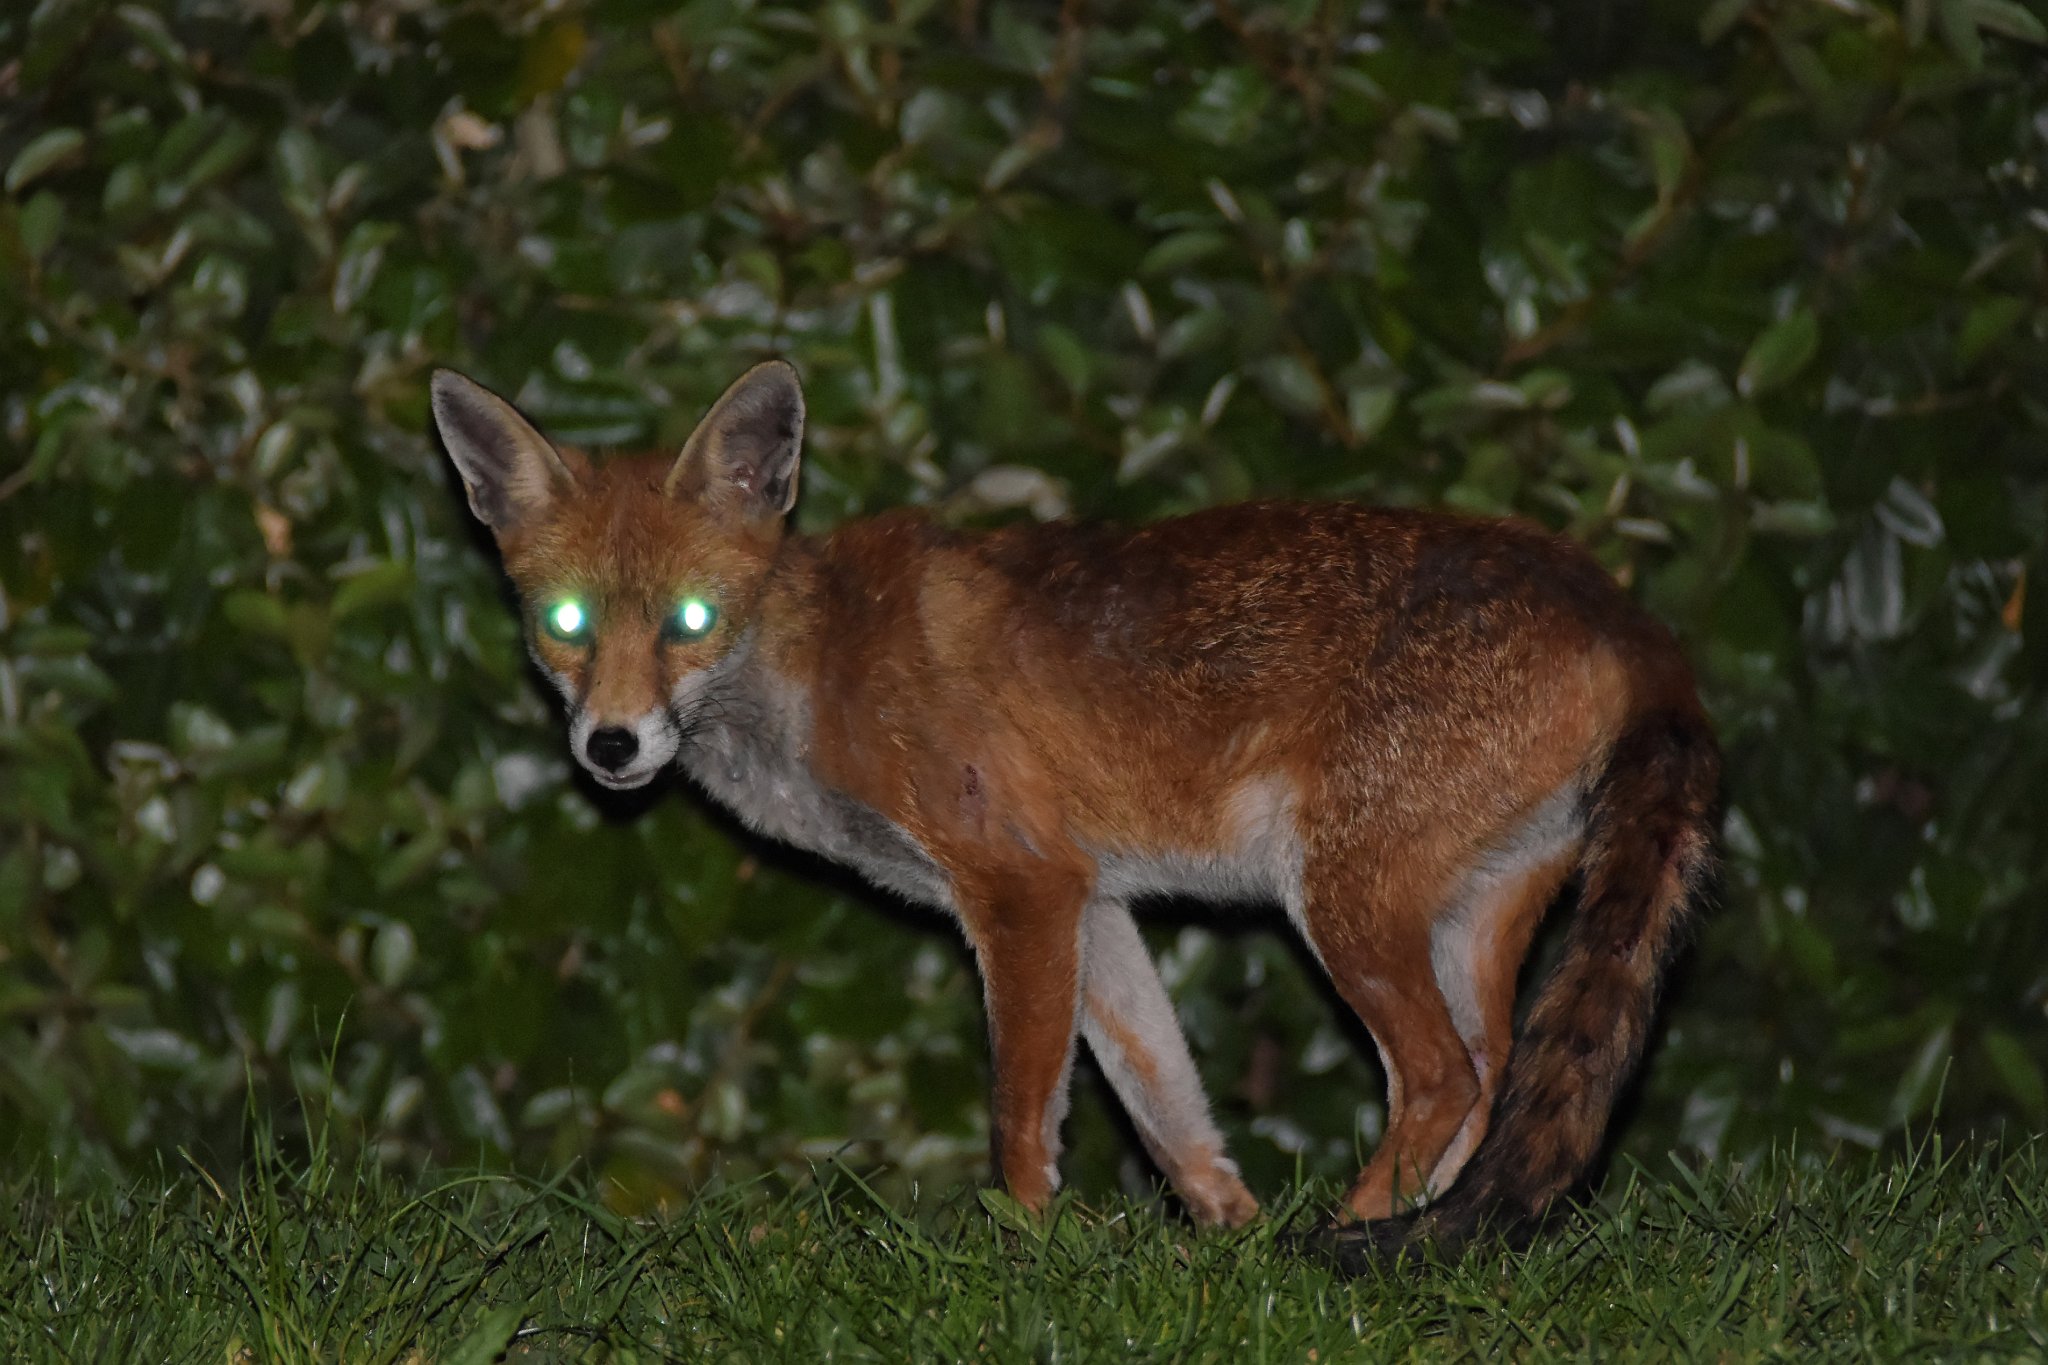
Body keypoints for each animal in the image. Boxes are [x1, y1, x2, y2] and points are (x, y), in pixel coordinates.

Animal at [429, 358, 1719, 1262]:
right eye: (566, 623)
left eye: (689, 621)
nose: (610, 746)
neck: (813, 674)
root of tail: (1621, 612)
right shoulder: (1092, 899)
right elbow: (1167, 1110)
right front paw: (1222, 1248)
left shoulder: (1019, 887)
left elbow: (1020, 1117)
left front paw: (1028, 1259)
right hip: (1470, 919)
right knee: (1495, 1085)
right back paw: (1414, 1245)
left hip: (1341, 901)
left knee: (1442, 1076)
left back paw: (1349, 1241)